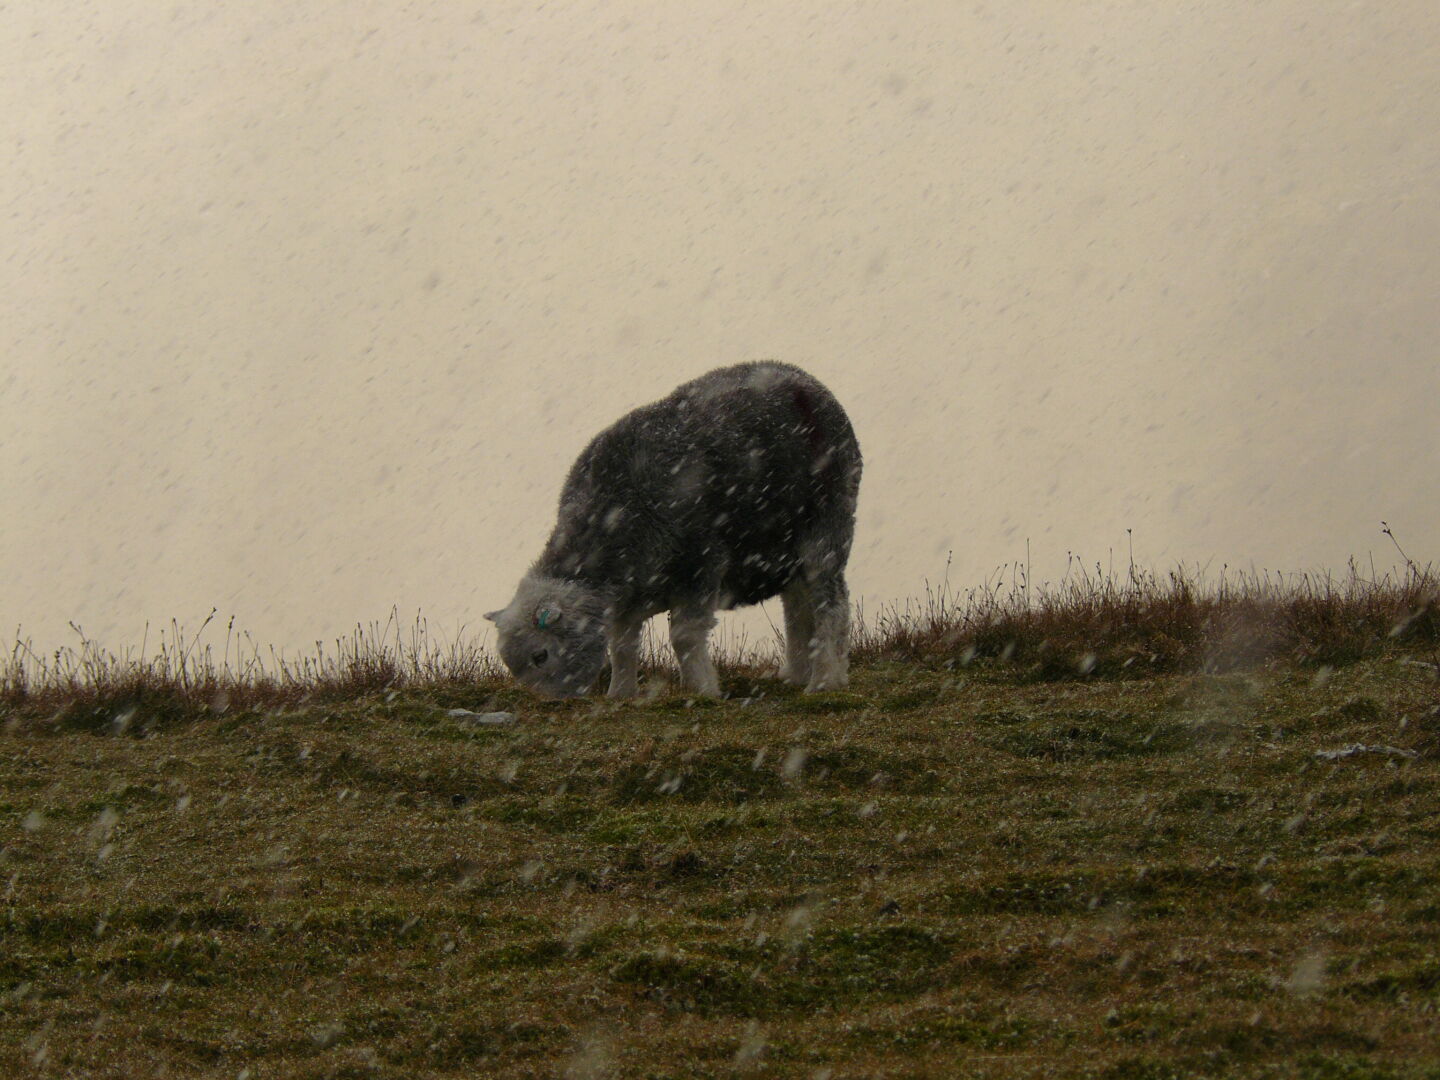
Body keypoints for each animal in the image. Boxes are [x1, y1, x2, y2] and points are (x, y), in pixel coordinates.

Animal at [486, 360, 862, 698]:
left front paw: (703, 691)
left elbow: (684, 635)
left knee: (831, 603)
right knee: (797, 607)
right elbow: (622, 645)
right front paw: (620, 695)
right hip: (785, 550)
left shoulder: (700, 565)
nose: (555, 703)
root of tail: (804, 378)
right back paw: (797, 674)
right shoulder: (630, 596)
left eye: (540, 655)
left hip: (827, 523)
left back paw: (824, 681)